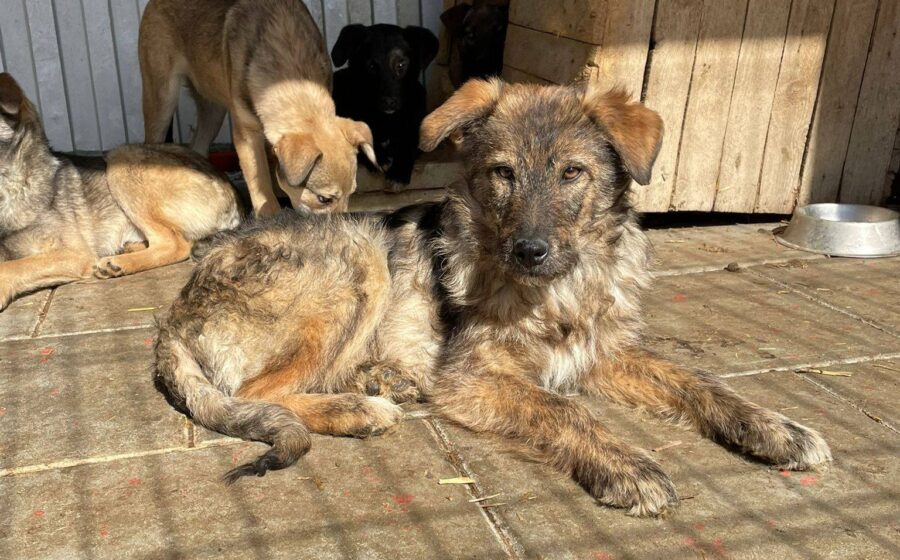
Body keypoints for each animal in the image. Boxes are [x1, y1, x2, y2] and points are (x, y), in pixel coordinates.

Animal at [0, 73, 241, 311]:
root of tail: (229, 187)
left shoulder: (74, 253)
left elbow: (14, 266)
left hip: (121, 160)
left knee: (175, 243)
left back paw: (118, 263)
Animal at [138, 0, 377, 216]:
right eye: (323, 199)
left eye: (351, 193)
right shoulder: (247, 134)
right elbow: (259, 179)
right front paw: (269, 214)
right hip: (162, 99)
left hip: (213, 112)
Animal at [153, 79, 831, 516]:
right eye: (503, 173)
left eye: (572, 173)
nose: (529, 250)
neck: (558, 291)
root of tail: (172, 318)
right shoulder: (473, 378)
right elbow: (564, 410)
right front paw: (625, 465)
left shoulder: (602, 353)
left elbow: (699, 382)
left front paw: (772, 427)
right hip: (353, 259)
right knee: (257, 392)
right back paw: (358, 408)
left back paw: (379, 380)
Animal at [331, 24, 439, 188]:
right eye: (371, 66)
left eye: (401, 65)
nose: (388, 101)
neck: (386, 120)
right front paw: (378, 156)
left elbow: (408, 144)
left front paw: (399, 172)